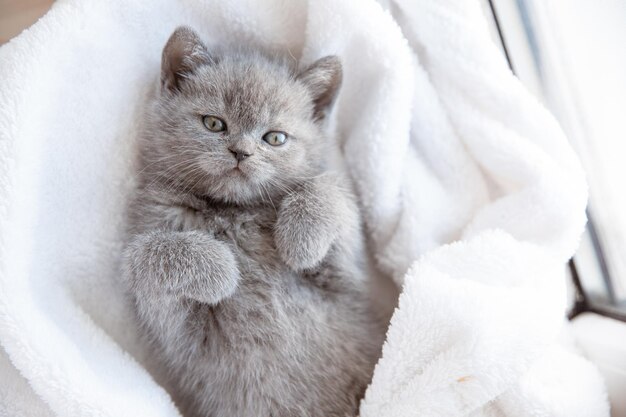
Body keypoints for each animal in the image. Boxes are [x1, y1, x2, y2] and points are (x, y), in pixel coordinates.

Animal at [120, 26, 382, 416]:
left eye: (275, 137)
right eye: (213, 123)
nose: (241, 152)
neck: (234, 213)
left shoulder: (347, 280)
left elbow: (332, 190)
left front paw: (299, 241)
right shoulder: (179, 333)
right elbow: (145, 254)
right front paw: (221, 269)